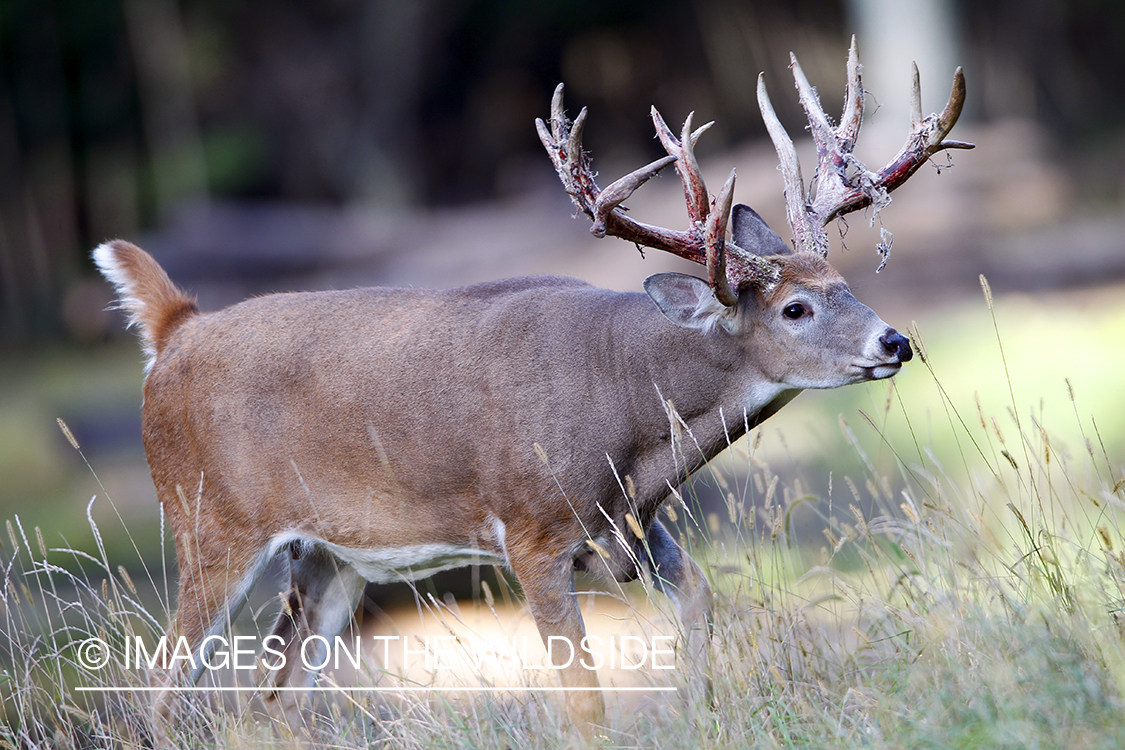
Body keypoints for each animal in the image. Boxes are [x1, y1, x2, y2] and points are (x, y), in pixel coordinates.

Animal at [94, 36, 967, 737]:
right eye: (794, 308)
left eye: (843, 282)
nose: (894, 341)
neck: (626, 401)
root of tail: (175, 329)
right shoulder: (531, 528)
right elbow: (582, 698)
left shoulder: (633, 527)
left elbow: (700, 607)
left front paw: (704, 715)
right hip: (210, 521)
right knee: (159, 685)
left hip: (326, 555)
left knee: (272, 697)